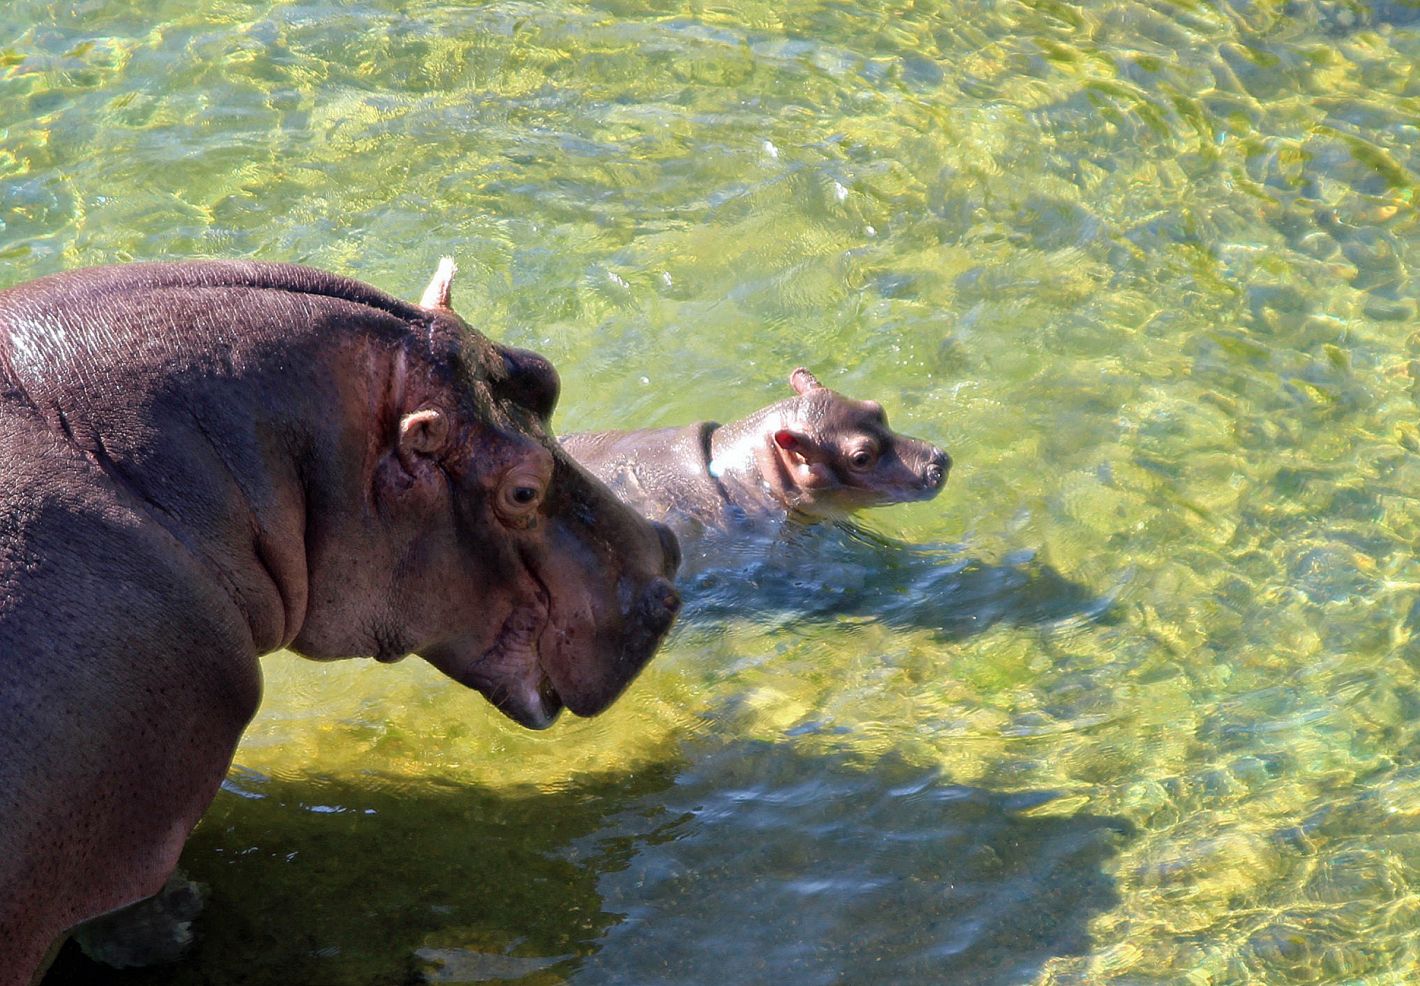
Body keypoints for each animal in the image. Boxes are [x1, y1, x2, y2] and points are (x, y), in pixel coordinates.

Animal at [0, 258, 681, 983]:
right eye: (522, 491)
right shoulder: (132, 834)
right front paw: (182, 919)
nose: (667, 565)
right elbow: (126, 918)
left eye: (543, 371)